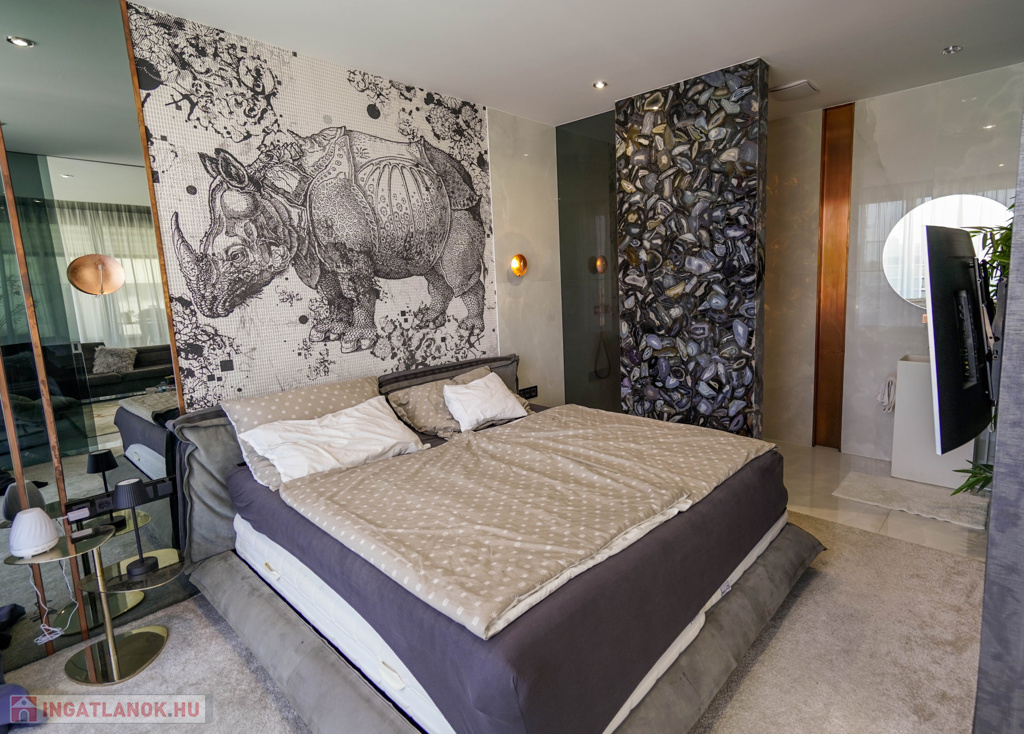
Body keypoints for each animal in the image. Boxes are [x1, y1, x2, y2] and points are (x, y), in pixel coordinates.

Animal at [171, 126, 487, 353]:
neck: (278, 197)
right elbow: (331, 291)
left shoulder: (350, 250)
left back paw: (470, 329)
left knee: (454, 267)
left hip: (459, 202)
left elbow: (359, 291)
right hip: (426, 204)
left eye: (236, 255)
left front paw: (356, 342)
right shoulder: (310, 248)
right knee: (430, 267)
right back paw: (428, 321)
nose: (208, 308)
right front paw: (328, 333)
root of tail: (461, 169)